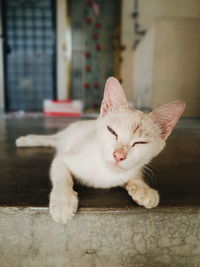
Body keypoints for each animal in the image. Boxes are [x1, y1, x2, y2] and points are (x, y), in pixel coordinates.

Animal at [16, 77, 185, 224]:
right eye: (112, 131)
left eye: (140, 142)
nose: (119, 155)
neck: (105, 173)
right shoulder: (63, 159)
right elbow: (62, 178)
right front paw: (63, 202)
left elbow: (135, 173)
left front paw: (143, 189)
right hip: (67, 138)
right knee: (51, 139)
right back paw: (25, 140)